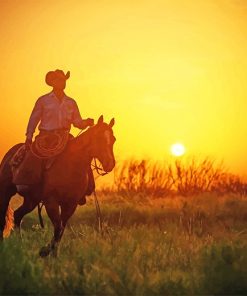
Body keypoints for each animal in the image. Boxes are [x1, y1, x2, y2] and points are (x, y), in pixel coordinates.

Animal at [0, 115, 116, 256]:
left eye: (113, 139)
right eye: (98, 138)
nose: (110, 164)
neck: (72, 164)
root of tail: (9, 155)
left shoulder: (71, 203)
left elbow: (61, 229)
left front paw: (51, 253)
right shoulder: (51, 201)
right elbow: (58, 226)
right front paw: (46, 251)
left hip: (31, 200)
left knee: (17, 215)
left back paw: (19, 245)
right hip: (6, 192)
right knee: (2, 219)